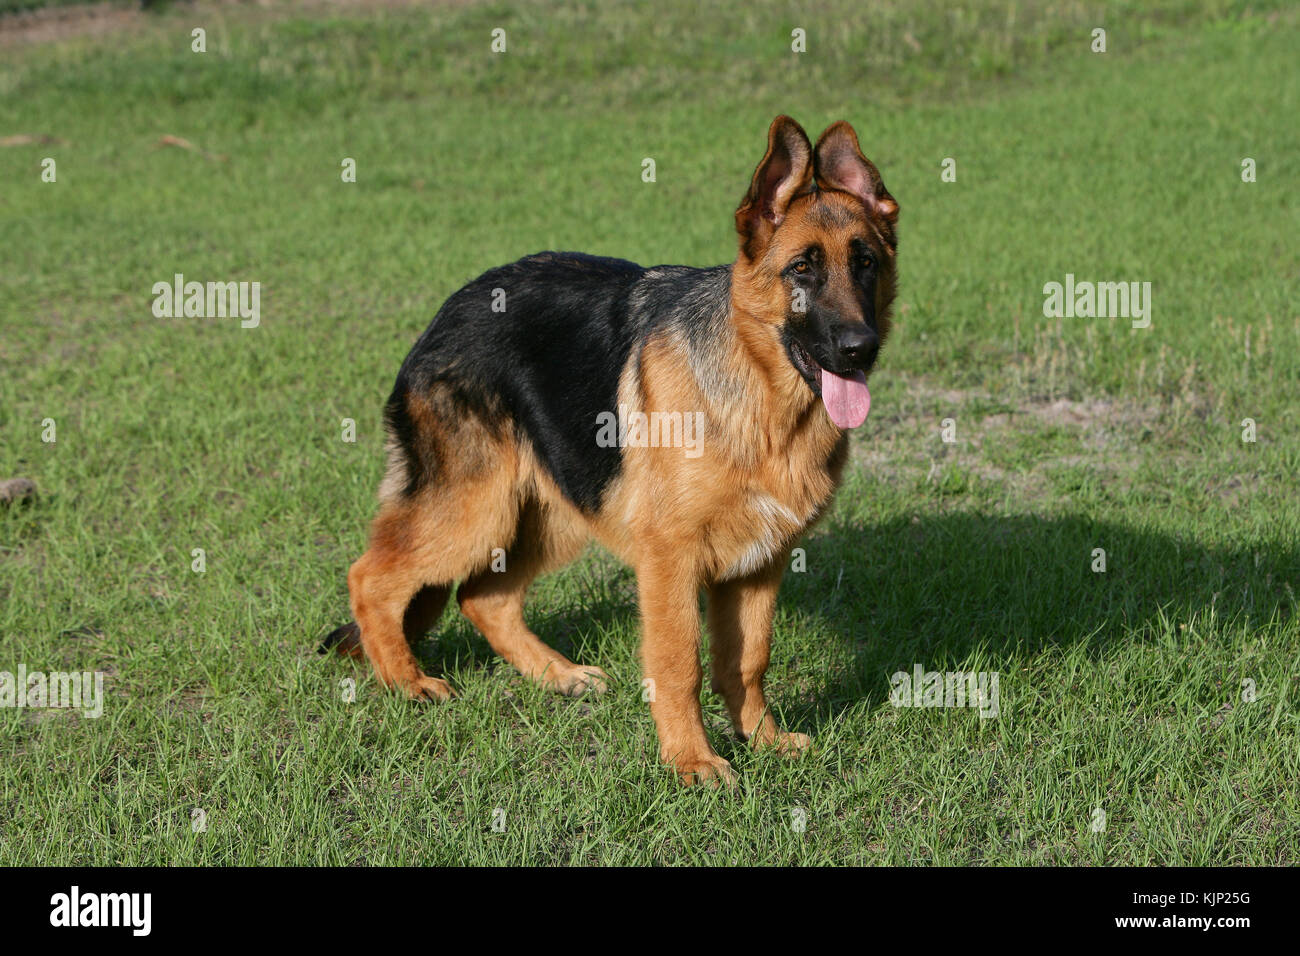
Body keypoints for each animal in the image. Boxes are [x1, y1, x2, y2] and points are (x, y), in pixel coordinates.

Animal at [319, 115, 899, 785]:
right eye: (802, 268)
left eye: (865, 263)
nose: (860, 349)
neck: (761, 394)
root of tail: (447, 311)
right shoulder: (670, 561)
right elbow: (680, 665)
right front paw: (692, 761)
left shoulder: (760, 563)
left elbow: (749, 659)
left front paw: (763, 740)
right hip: (474, 512)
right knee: (371, 578)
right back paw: (406, 682)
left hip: (555, 510)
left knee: (482, 597)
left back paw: (558, 676)